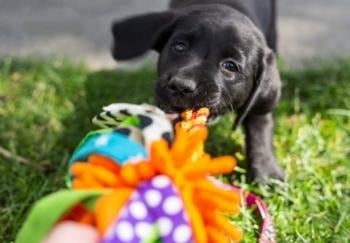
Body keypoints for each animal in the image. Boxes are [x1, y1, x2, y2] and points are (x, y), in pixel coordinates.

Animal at [112, 0, 284, 182]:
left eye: (230, 66)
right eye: (179, 46)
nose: (181, 86)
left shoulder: (260, 100)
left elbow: (260, 125)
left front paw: (268, 172)